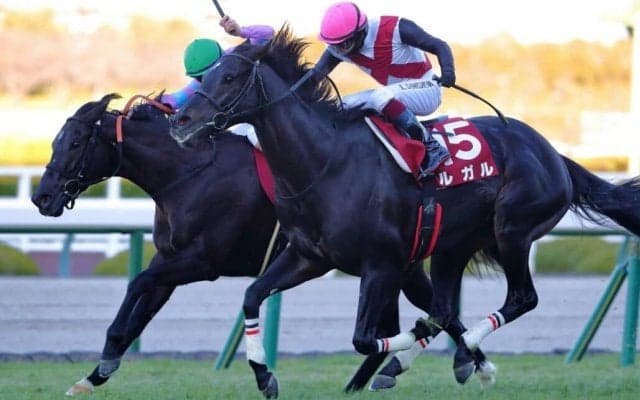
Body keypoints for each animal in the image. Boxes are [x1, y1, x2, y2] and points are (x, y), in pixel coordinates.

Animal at [31, 93, 492, 397]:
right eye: (55, 141)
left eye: (75, 143)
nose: (42, 197)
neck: (187, 172)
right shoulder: (172, 259)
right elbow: (139, 313)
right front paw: (94, 375)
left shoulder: (202, 262)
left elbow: (137, 283)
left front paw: (105, 360)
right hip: (393, 264)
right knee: (421, 315)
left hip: (391, 262)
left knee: (433, 312)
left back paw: (466, 363)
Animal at [169, 26, 640, 396]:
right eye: (205, 75)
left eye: (229, 76)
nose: (180, 120)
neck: (323, 163)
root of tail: (554, 155)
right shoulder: (309, 257)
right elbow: (252, 296)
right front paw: (265, 376)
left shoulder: (382, 264)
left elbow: (365, 337)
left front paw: (399, 353)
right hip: (453, 245)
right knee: (447, 308)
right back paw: (452, 357)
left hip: (513, 230)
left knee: (519, 298)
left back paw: (457, 353)